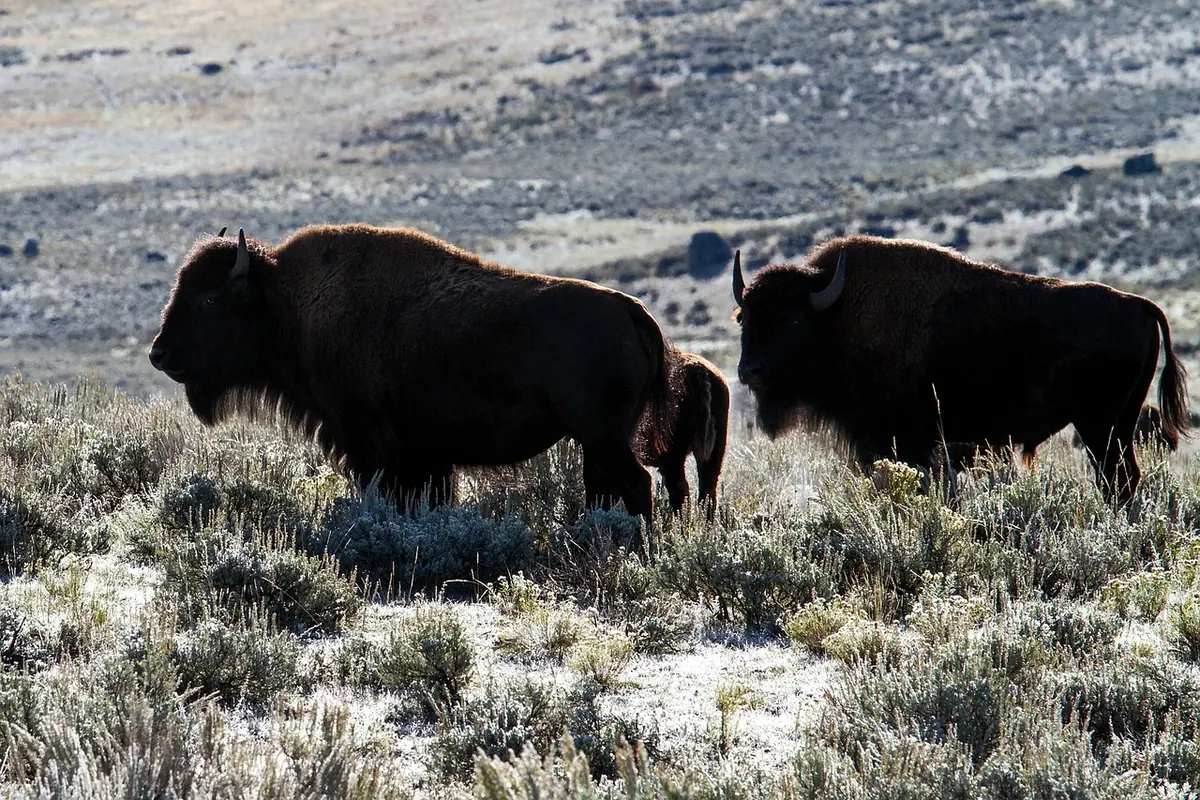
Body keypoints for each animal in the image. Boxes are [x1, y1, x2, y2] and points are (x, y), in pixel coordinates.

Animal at [149, 224, 674, 522]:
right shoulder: (425, 456)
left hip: (602, 435)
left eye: (209, 300)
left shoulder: (369, 442)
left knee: (636, 485)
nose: (159, 354)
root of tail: (632, 312)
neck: (286, 303)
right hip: (595, 441)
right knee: (605, 491)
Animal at [733, 235, 1188, 506]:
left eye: (793, 320)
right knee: (1125, 478)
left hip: (1099, 425)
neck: (837, 315)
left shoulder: (905, 441)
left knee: (1117, 479)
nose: (749, 370)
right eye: (745, 317)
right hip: (1121, 423)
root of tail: (1141, 305)